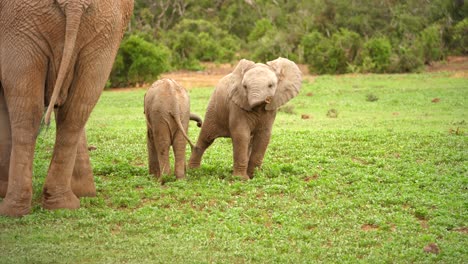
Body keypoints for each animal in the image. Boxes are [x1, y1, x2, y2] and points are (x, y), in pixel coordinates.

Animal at [0, 0, 133, 217]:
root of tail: (74, 3)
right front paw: (85, 193)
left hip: (18, 24)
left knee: (26, 111)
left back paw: (13, 210)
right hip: (107, 31)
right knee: (75, 110)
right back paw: (63, 204)